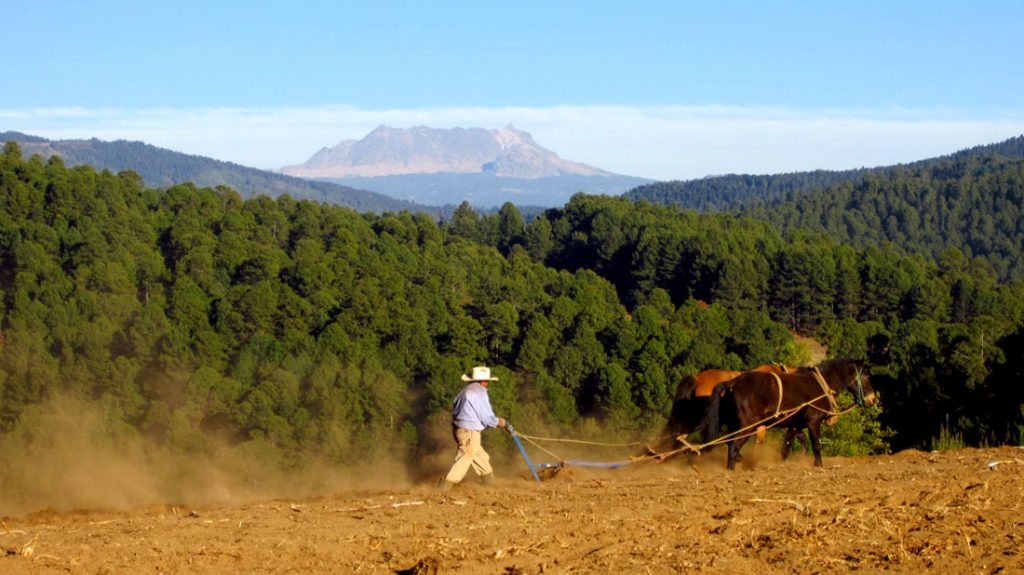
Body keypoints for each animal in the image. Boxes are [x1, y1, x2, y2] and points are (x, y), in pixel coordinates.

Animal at [700, 360, 876, 468]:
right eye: (866, 376)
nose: (872, 399)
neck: (820, 384)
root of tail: (734, 382)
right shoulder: (813, 422)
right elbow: (816, 444)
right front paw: (819, 465)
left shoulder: (795, 426)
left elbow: (786, 449)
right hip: (747, 426)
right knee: (733, 447)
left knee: (731, 445)